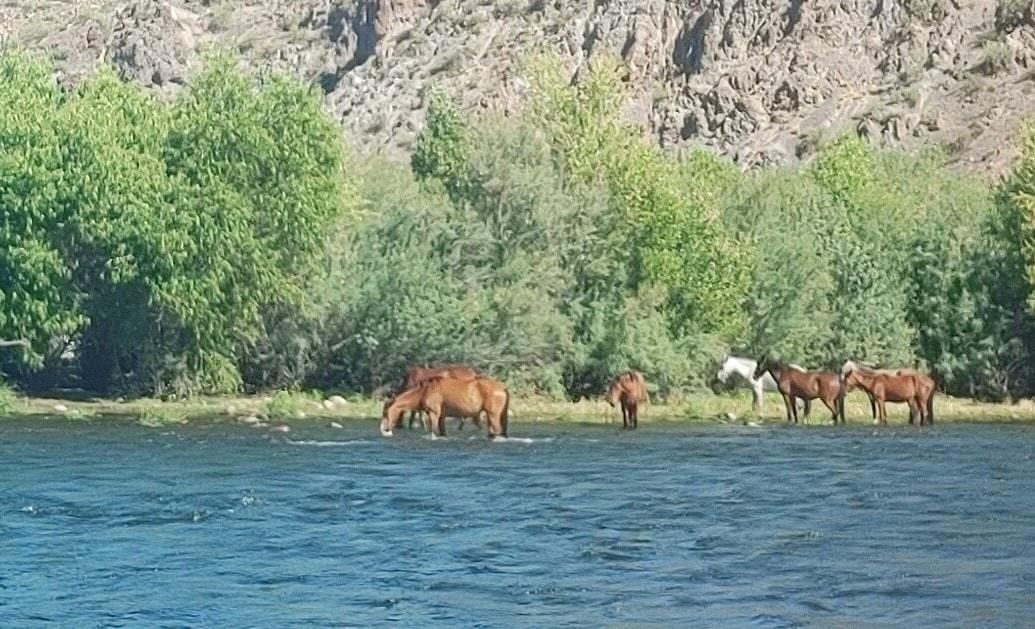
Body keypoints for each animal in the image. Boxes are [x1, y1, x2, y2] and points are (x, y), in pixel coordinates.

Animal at [381, 376, 509, 438]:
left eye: (386, 413)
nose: (384, 430)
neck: (424, 390)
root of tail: (502, 387)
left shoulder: (434, 414)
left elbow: (433, 431)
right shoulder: (441, 416)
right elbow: (442, 432)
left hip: (493, 415)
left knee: (496, 431)